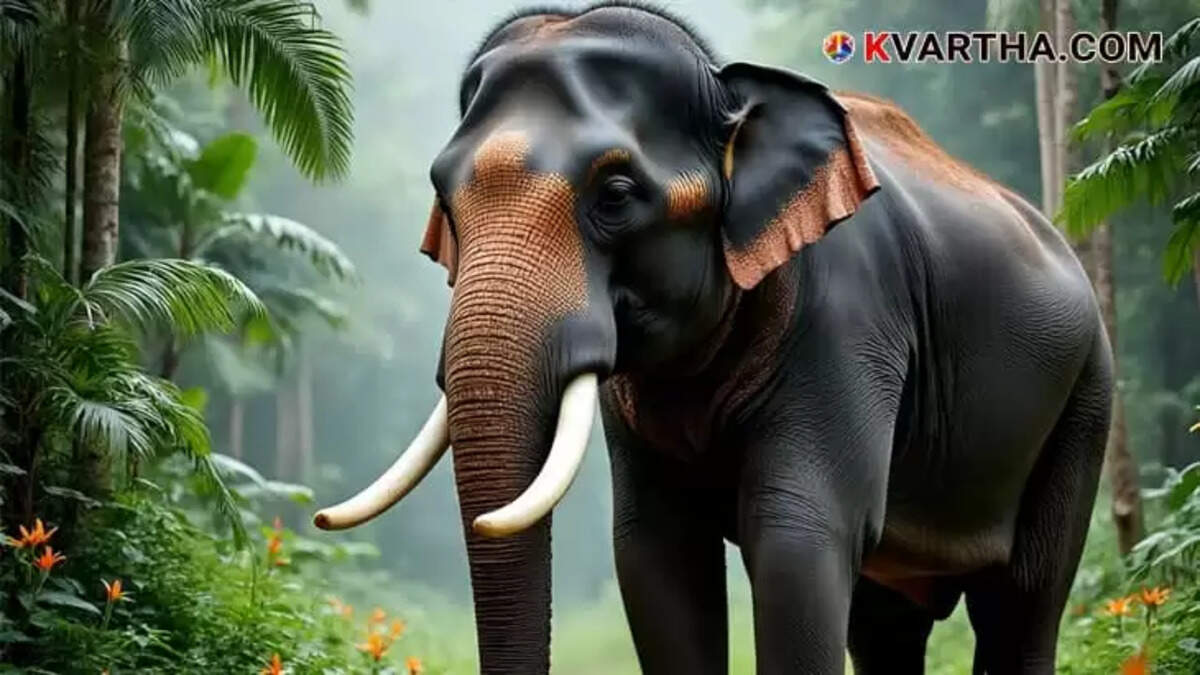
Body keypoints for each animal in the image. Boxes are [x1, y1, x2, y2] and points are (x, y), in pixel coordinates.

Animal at [314, 4, 1113, 674]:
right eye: (444, 198)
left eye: (616, 195)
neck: (733, 97)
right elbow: (656, 552)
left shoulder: (852, 321)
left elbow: (798, 537)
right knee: (887, 621)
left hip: (1085, 395)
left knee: (1022, 599)